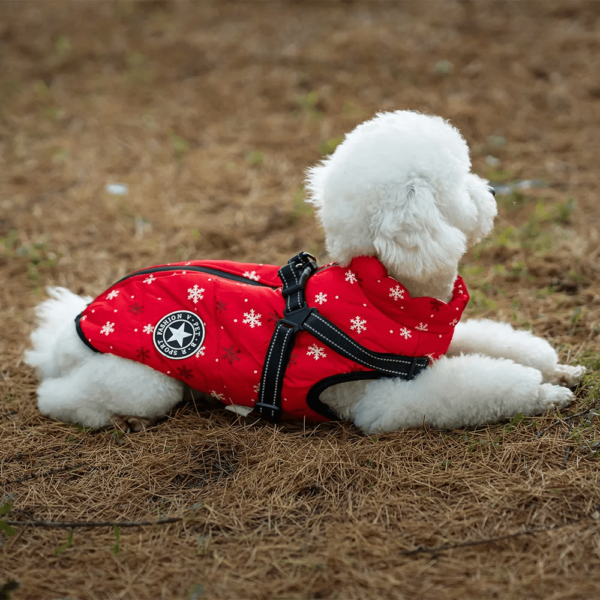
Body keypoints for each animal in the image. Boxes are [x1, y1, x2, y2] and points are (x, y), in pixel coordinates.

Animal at [24, 111, 584, 432]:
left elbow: (504, 346)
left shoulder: (434, 343)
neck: (385, 294)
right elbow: (482, 387)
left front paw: (559, 369)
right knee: (58, 397)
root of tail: (71, 327)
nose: (490, 192)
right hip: (144, 384)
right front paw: (544, 393)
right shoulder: (381, 399)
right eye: (459, 180)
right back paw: (108, 417)